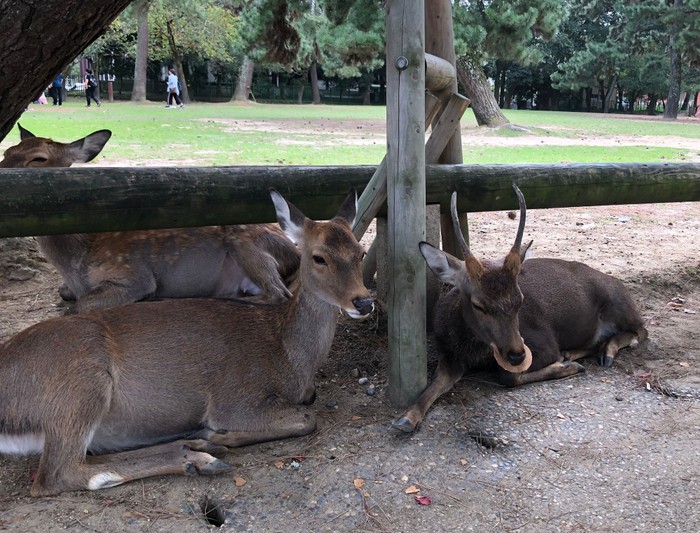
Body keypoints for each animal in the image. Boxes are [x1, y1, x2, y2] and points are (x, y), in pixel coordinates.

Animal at [0, 123, 298, 312]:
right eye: (7, 151)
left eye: (39, 158)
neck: (76, 264)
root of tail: (295, 253)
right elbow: (65, 294)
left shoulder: (133, 274)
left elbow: (78, 308)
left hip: (248, 246)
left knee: (280, 294)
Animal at [0, 187, 374, 494]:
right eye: (319, 257)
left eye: (360, 252)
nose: (363, 302)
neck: (288, 354)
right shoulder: (236, 398)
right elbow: (307, 418)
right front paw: (220, 434)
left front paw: (212, 438)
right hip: (79, 385)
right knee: (56, 475)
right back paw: (202, 456)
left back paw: (196, 448)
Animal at [392, 184, 648, 432]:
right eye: (478, 304)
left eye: (521, 299)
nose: (517, 354)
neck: (473, 350)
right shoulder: (448, 354)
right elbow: (433, 384)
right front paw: (406, 418)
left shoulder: (544, 343)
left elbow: (507, 376)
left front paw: (565, 367)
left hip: (619, 305)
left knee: (642, 330)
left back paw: (605, 353)